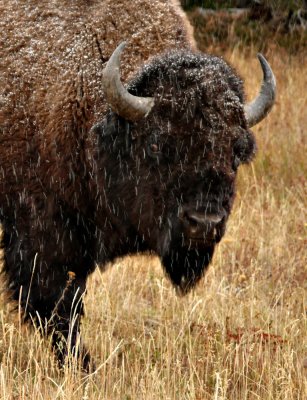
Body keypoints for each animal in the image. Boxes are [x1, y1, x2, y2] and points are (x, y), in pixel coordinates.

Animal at [0, 0, 276, 370]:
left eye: (235, 150)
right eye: (158, 144)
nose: (204, 224)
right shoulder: (41, 235)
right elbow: (57, 307)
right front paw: (85, 366)